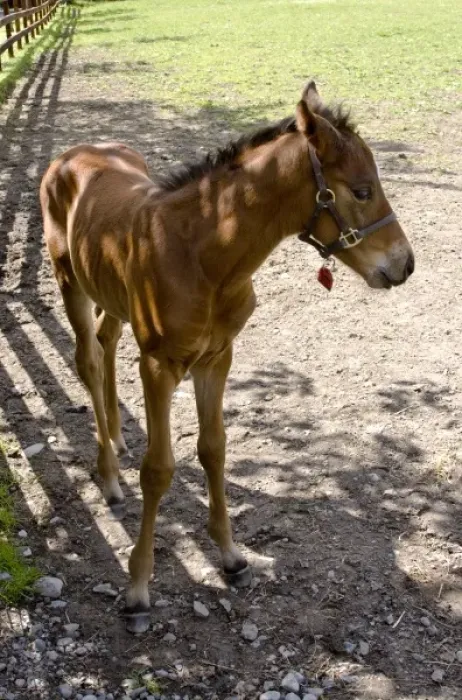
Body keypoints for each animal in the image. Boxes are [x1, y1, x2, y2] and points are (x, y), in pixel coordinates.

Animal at [40, 81, 414, 633]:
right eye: (362, 190)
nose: (405, 264)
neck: (203, 256)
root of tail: (69, 154)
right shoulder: (158, 365)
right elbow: (159, 469)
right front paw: (138, 587)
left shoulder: (218, 358)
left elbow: (213, 448)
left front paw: (232, 557)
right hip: (70, 283)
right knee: (86, 359)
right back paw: (108, 474)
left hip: (110, 293)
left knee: (107, 343)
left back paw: (119, 441)